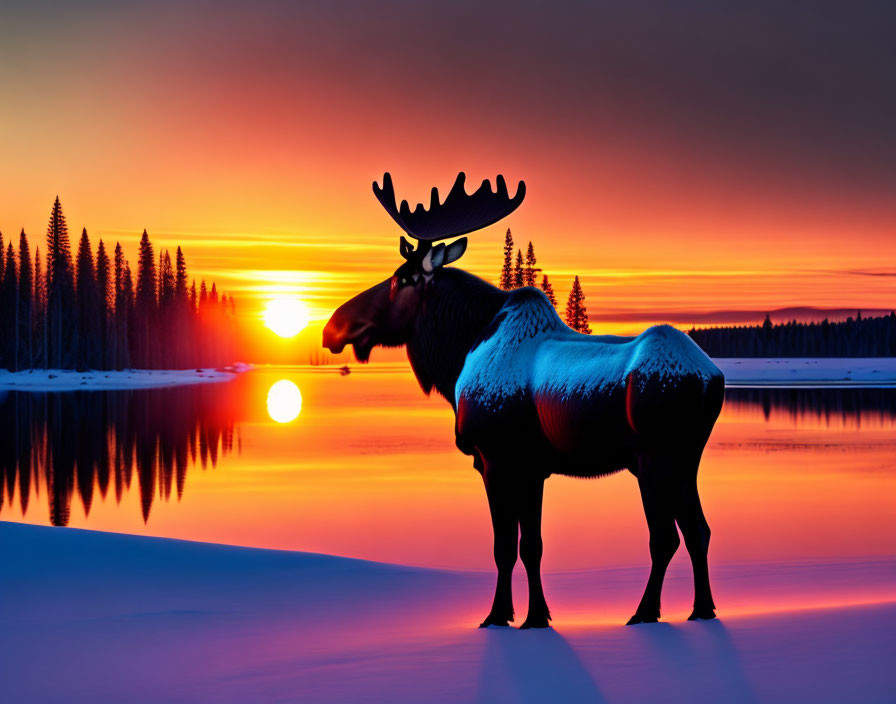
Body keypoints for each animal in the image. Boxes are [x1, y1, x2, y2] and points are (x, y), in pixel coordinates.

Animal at [326, 173, 724, 628]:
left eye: (401, 279)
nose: (332, 327)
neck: (456, 357)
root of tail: (713, 378)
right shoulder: (533, 467)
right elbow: (531, 546)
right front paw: (535, 616)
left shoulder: (494, 459)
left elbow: (504, 547)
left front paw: (499, 615)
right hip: (686, 459)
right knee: (698, 530)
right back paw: (702, 609)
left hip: (653, 459)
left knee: (665, 537)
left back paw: (644, 613)